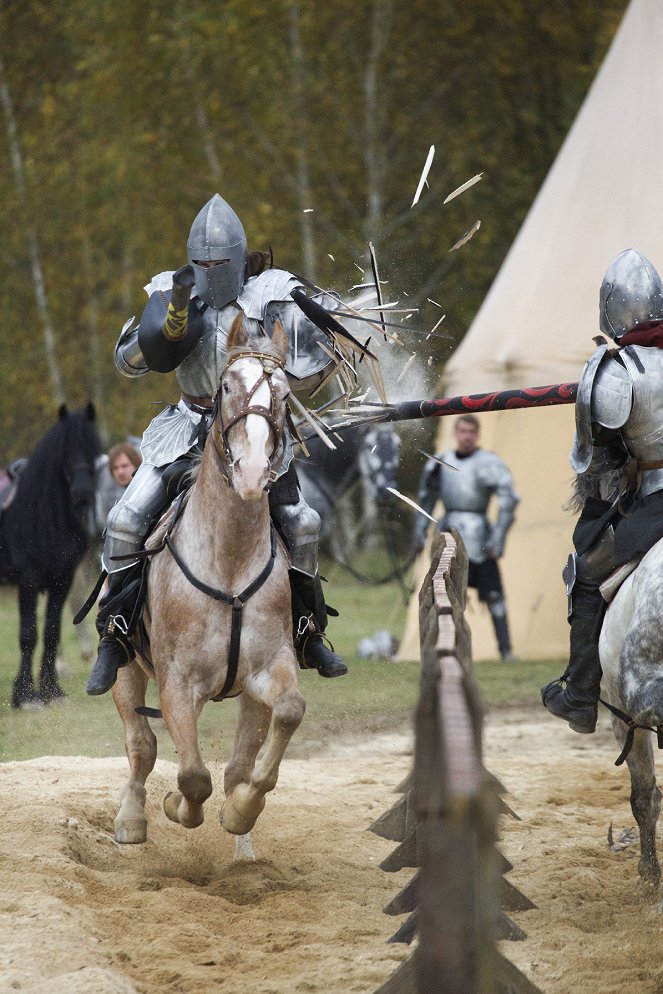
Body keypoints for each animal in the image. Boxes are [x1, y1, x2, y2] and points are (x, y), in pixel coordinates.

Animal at [0, 402, 101, 704]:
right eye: (65, 447)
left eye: (93, 446)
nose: (82, 492)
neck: (42, 515)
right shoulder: (29, 580)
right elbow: (28, 635)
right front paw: (25, 695)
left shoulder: (62, 580)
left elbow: (52, 631)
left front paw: (51, 690)